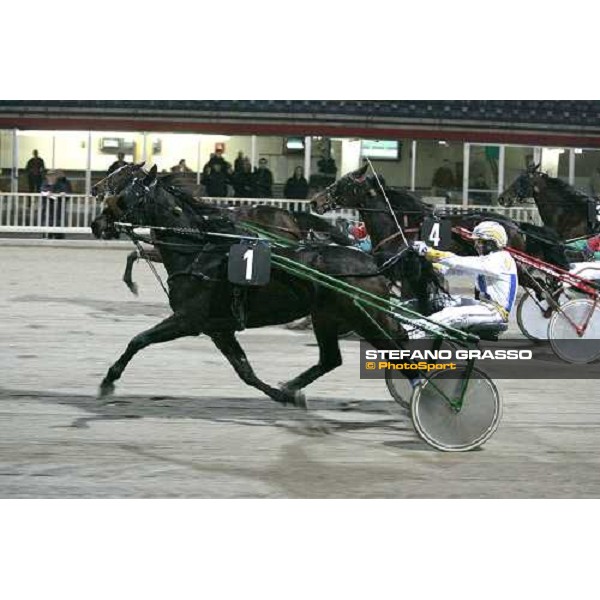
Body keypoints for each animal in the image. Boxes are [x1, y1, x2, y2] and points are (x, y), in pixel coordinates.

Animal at [90, 164, 436, 408]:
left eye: (126, 193)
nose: (97, 223)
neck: (201, 251)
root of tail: (372, 262)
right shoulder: (218, 328)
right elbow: (245, 372)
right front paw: (285, 396)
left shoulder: (188, 320)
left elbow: (138, 340)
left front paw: (108, 380)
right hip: (329, 317)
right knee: (332, 359)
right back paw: (292, 386)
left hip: (366, 318)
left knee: (399, 350)